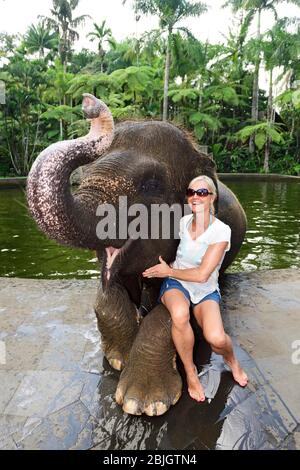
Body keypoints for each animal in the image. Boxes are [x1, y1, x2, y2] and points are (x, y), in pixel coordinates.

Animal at [26, 93, 246, 416]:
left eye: (151, 185)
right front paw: (120, 357)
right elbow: (106, 292)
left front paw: (142, 403)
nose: (89, 103)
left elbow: (175, 310)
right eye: (83, 177)